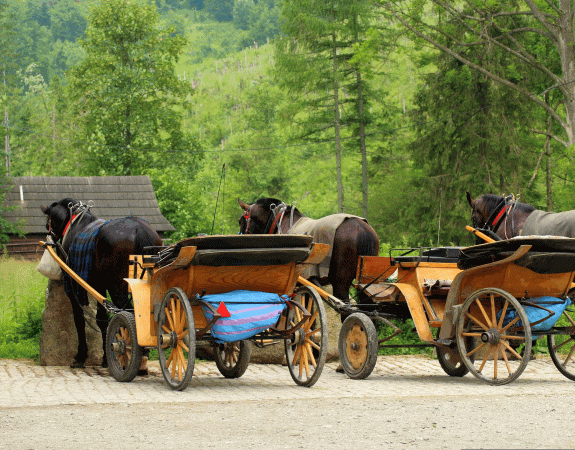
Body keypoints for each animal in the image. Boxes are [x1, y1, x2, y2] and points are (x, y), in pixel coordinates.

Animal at [42, 199, 162, 368]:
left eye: (48, 221)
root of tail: (140, 229)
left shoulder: (74, 287)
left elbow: (80, 319)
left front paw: (81, 355)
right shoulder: (99, 285)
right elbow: (102, 319)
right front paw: (105, 357)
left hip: (117, 287)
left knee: (129, 314)